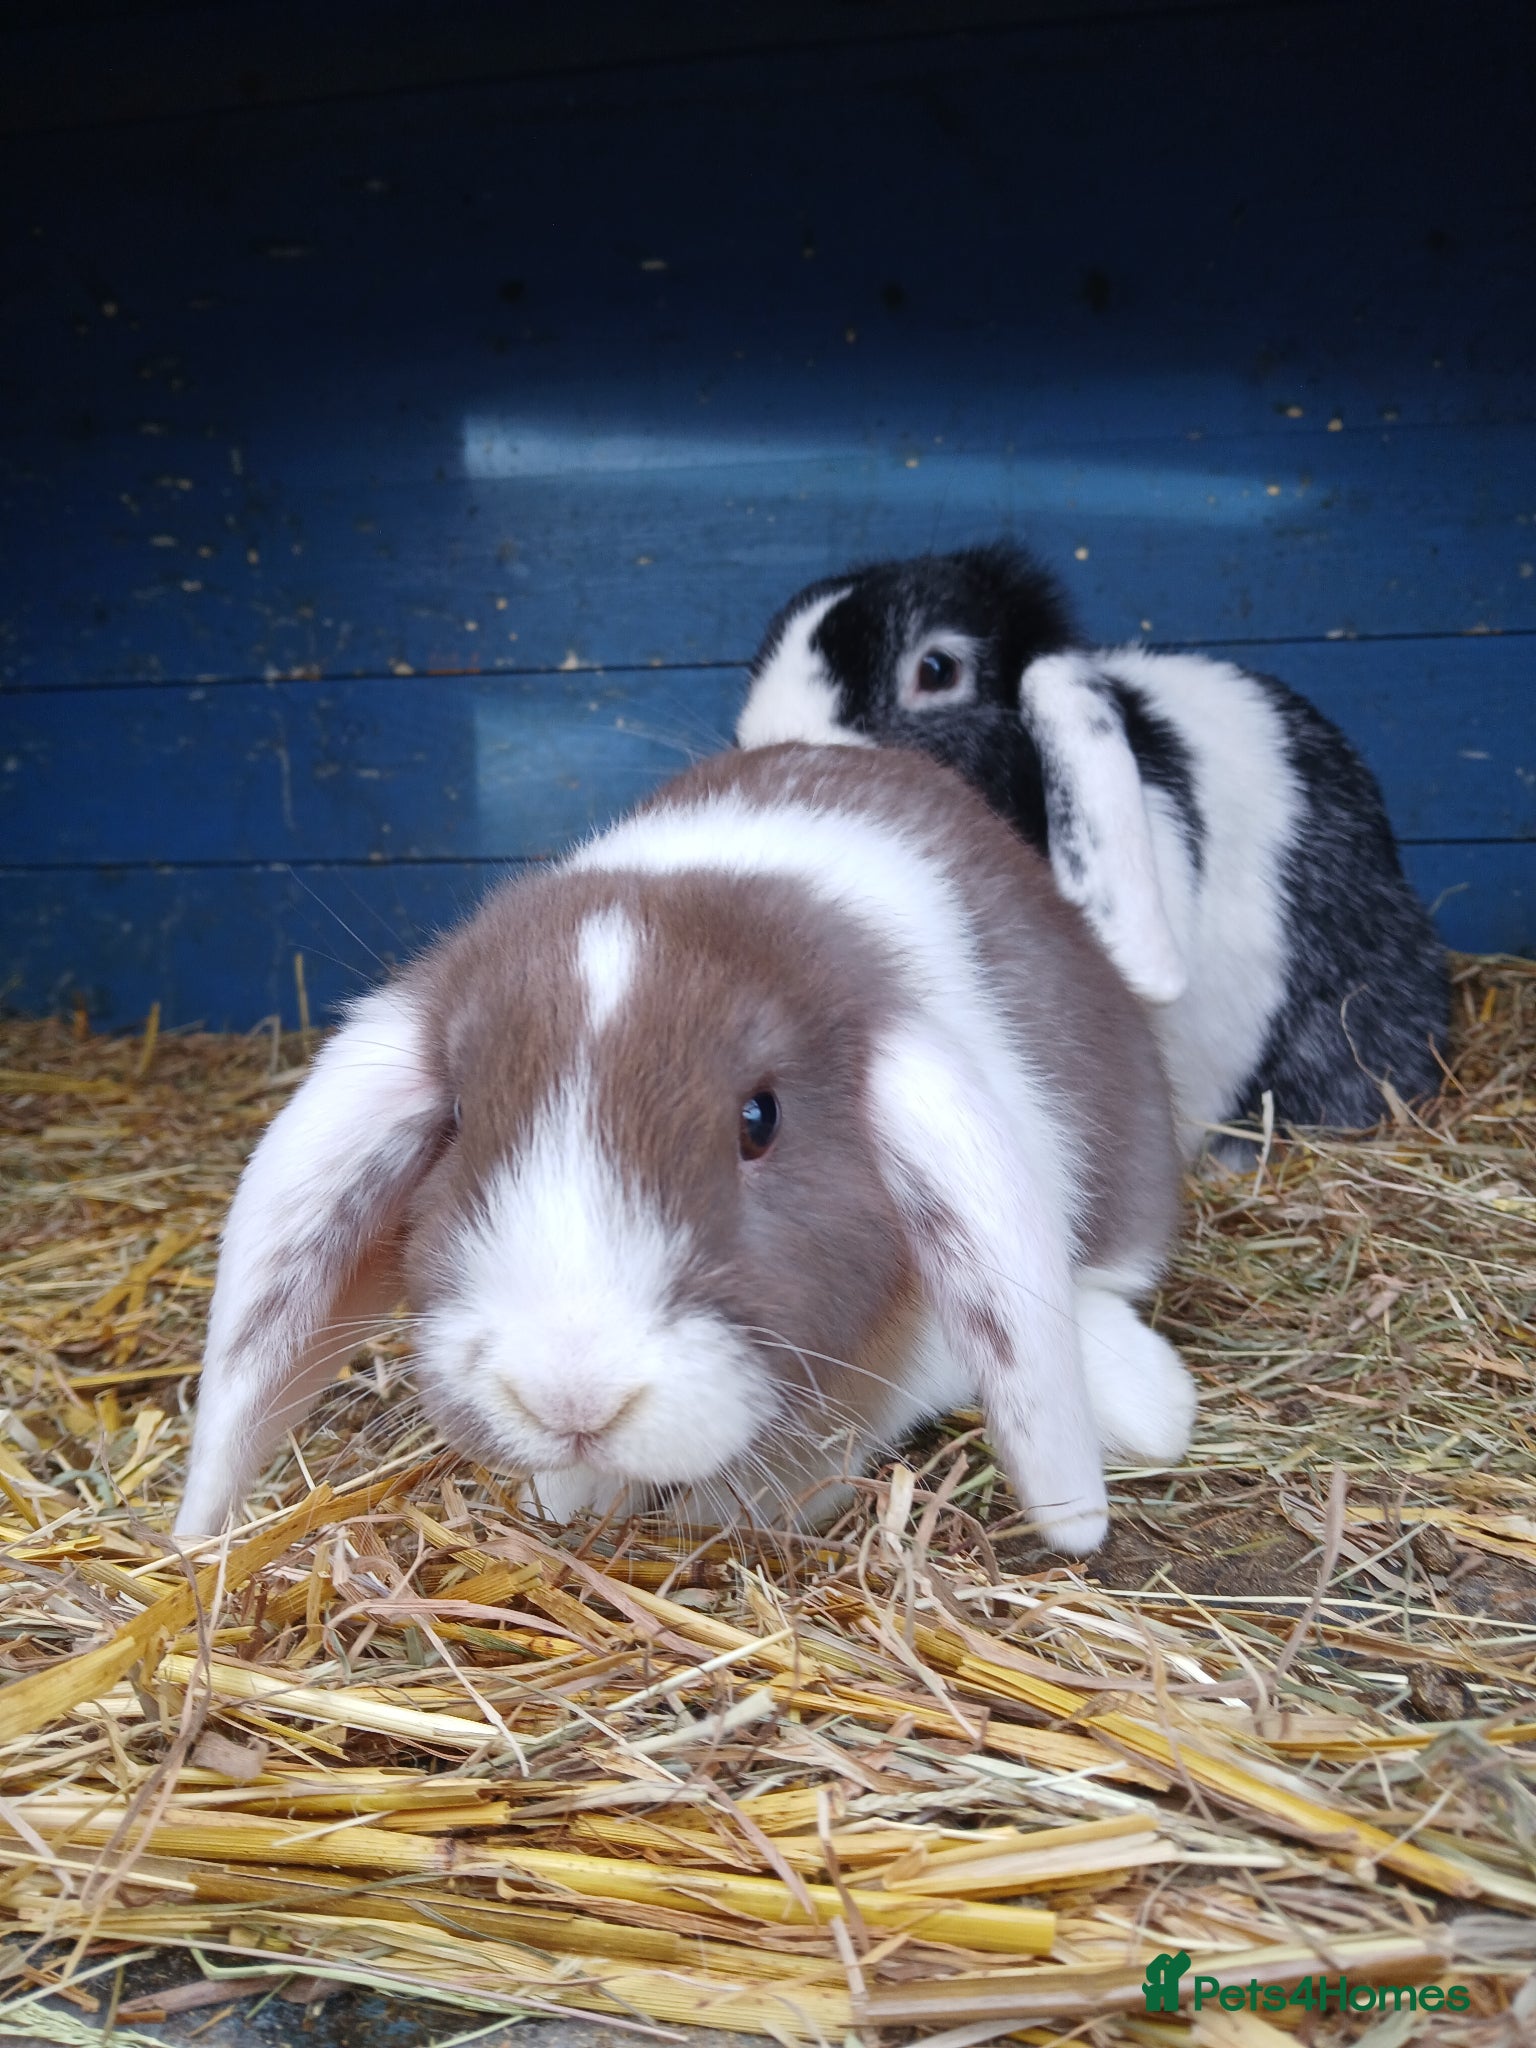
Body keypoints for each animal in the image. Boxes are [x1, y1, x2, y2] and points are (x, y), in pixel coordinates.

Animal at [173, 740, 1195, 1555]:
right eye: (459, 1115)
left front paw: (724, 1514)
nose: (571, 1399)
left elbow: (830, 1432)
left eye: (761, 1118)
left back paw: (1151, 1407)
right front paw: (572, 1493)